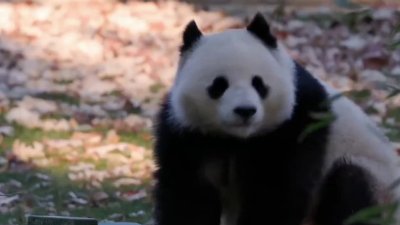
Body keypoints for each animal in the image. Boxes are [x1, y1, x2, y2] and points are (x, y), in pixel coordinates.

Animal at [152, 13, 400, 225]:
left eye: (258, 83)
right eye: (219, 85)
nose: (245, 110)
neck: (236, 139)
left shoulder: (296, 123)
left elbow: (277, 192)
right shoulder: (187, 133)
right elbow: (188, 195)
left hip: (378, 182)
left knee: (353, 189)